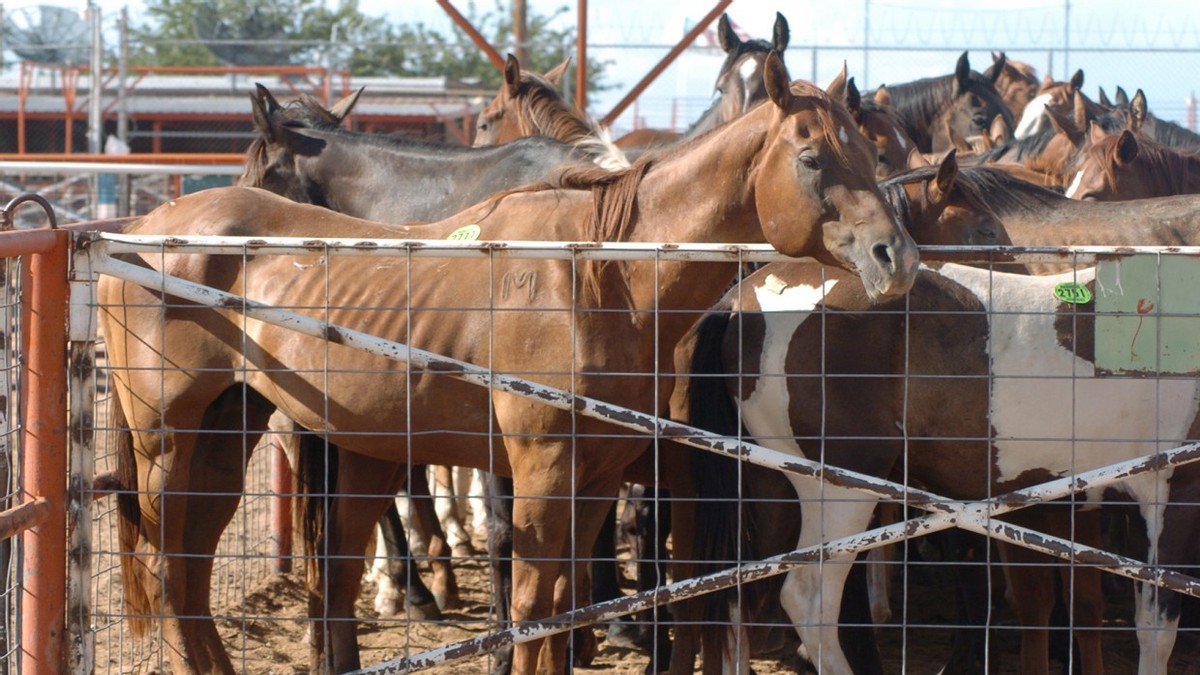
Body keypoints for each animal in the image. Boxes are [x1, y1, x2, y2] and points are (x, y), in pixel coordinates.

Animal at [100, 53, 916, 672]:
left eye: (871, 153)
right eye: (811, 156)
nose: (895, 257)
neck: (600, 275)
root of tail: (144, 229)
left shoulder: (593, 478)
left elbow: (561, 609)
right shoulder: (539, 470)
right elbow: (528, 606)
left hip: (228, 430)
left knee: (193, 571)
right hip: (168, 442)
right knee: (168, 569)